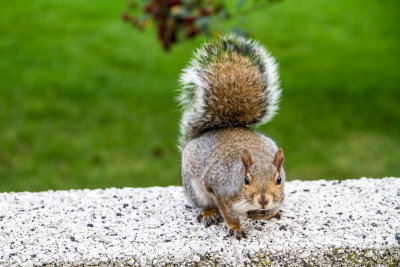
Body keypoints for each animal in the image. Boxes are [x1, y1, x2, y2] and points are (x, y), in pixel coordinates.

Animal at [177, 34, 284, 241]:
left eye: (279, 180)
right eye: (246, 180)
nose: (263, 200)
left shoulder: (279, 196)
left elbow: (272, 208)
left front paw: (263, 214)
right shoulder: (221, 190)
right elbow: (228, 212)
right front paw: (235, 227)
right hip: (194, 187)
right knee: (204, 203)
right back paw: (209, 213)